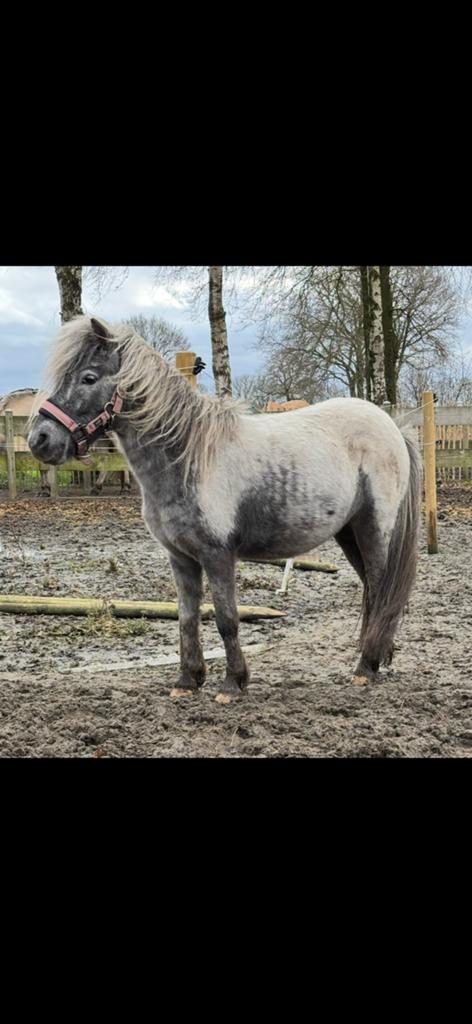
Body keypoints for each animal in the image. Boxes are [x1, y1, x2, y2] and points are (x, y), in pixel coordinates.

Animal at [27, 315, 422, 703]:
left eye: (88, 377)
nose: (40, 440)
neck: (187, 459)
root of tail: (391, 426)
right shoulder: (180, 557)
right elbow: (187, 617)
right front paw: (188, 680)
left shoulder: (217, 555)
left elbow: (226, 618)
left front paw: (232, 684)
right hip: (348, 532)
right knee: (372, 592)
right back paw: (377, 657)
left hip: (374, 529)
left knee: (381, 590)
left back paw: (366, 667)